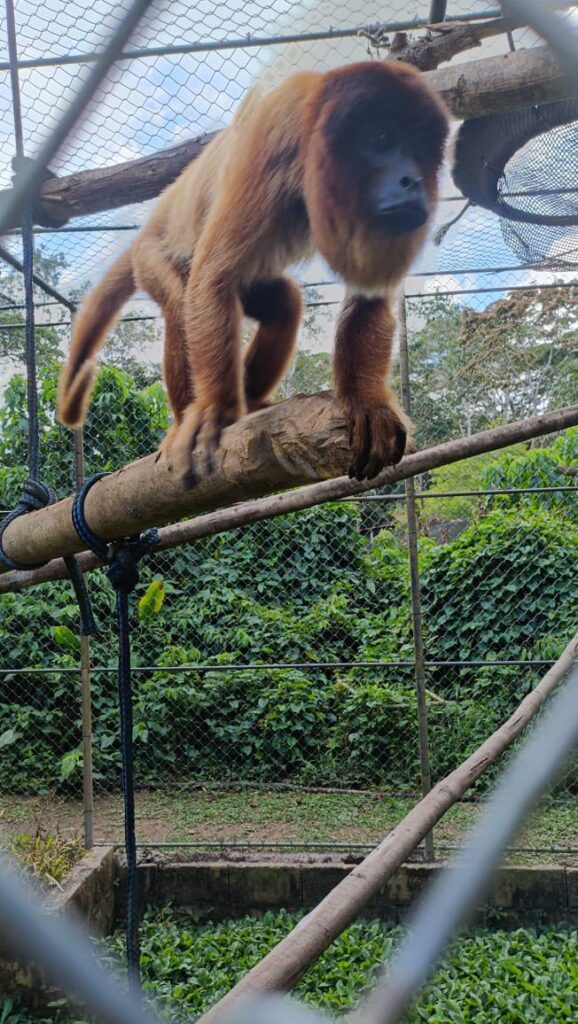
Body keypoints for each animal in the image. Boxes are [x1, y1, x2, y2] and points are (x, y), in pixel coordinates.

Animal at [57, 61, 449, 485]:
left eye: (419, 149)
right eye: (381, 139)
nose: (412, 181)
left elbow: (369, 290)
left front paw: (365, 399)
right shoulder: (274, 139)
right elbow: (213, 274)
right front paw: (214, 409)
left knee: (284, 305)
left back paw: (253, 402)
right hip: (151, 257)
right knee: (182, 303)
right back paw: (185, 421)